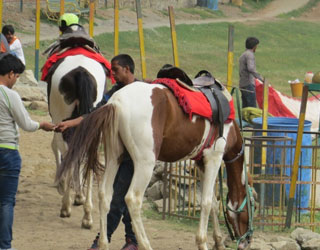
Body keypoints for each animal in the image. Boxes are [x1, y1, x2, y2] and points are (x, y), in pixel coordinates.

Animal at [42, 47, 110, 229]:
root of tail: (81, 72)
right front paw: (78, 194)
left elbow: (57, 148)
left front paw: (63, 184)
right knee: (90, 156)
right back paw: (87, 215)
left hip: (63, 122)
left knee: (69, 152)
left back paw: (66, 206)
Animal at [57, 81, 252, 249]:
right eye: (253, 206)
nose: (246, 241)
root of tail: (116, 103)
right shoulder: (214, 158)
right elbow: (206, 202)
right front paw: (203, 242)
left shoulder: (201, 163)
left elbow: (213, 202)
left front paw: (218, 241)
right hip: (145, 163)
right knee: (132, 199)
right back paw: (145, 244)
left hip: (114, 157)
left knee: (105, 194)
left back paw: (104, 244)